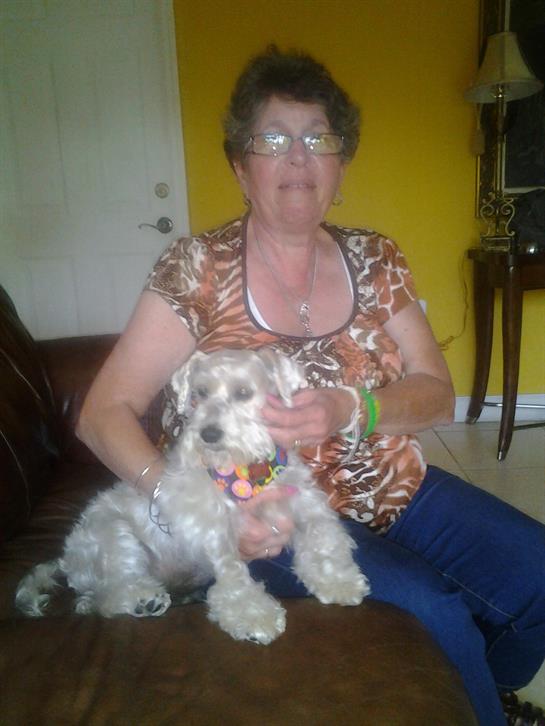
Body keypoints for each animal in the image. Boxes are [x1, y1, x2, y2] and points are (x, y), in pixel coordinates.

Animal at [16, 349, 370, 644]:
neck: (248, 471)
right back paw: (143, 600)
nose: (208, 434)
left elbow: (325, 541)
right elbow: (234, 575)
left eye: (244, 392)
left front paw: (339, 582)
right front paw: (252, 615)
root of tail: (66, 559)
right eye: (200, 392)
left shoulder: (307, 505)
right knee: (110, 594)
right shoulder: (216, 532)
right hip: (115, 538)